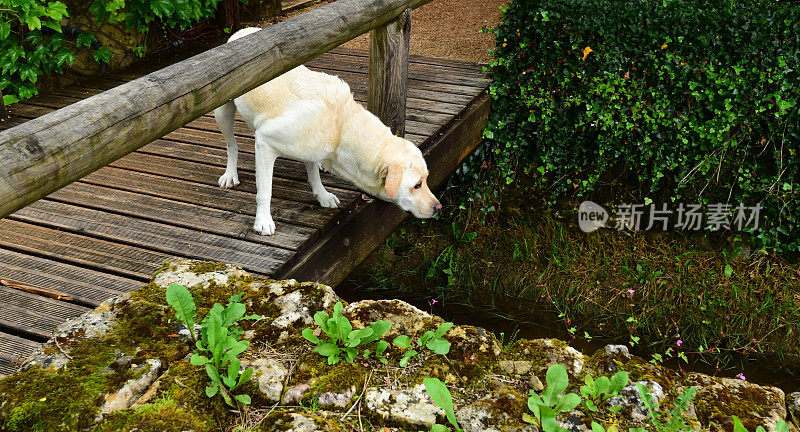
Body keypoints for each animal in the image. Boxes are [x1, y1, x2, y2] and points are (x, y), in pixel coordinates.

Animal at [216, 27, 440, 236]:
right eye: (417, 185)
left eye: (425, 180)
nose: (439, 207)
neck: (342, 125)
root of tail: (243, 31)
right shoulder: (265, 142)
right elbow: (265, 190)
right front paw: (263, 220)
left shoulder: (312, 147)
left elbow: (313, 171)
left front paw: (322, 194)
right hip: (223, 112)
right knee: (231, 145)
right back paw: (230, 174)